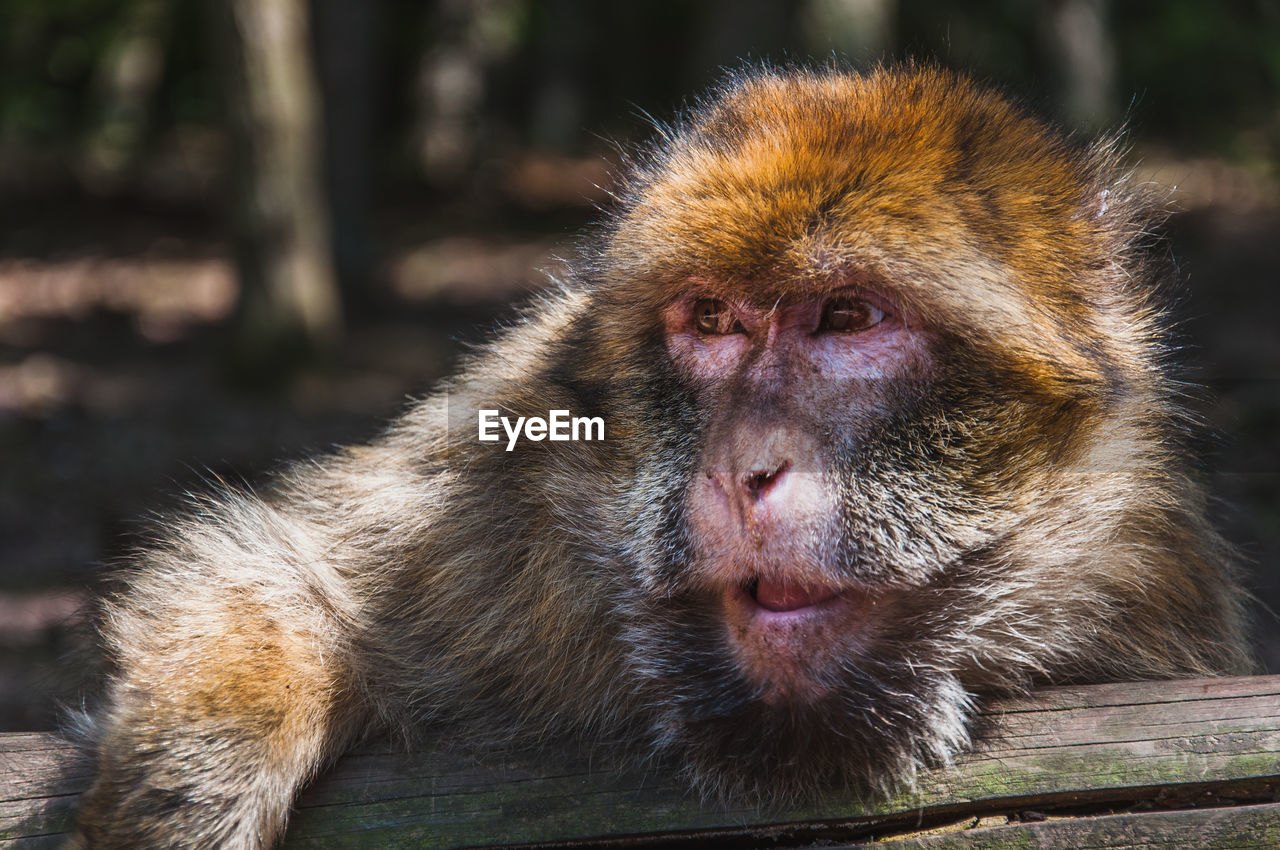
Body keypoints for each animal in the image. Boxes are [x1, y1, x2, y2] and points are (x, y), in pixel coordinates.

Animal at [67, 63, 1249, 844]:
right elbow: (286, 559)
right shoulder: (496, 489)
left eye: (848, 316)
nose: (741, 468)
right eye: (712, 320)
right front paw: (196, 771)